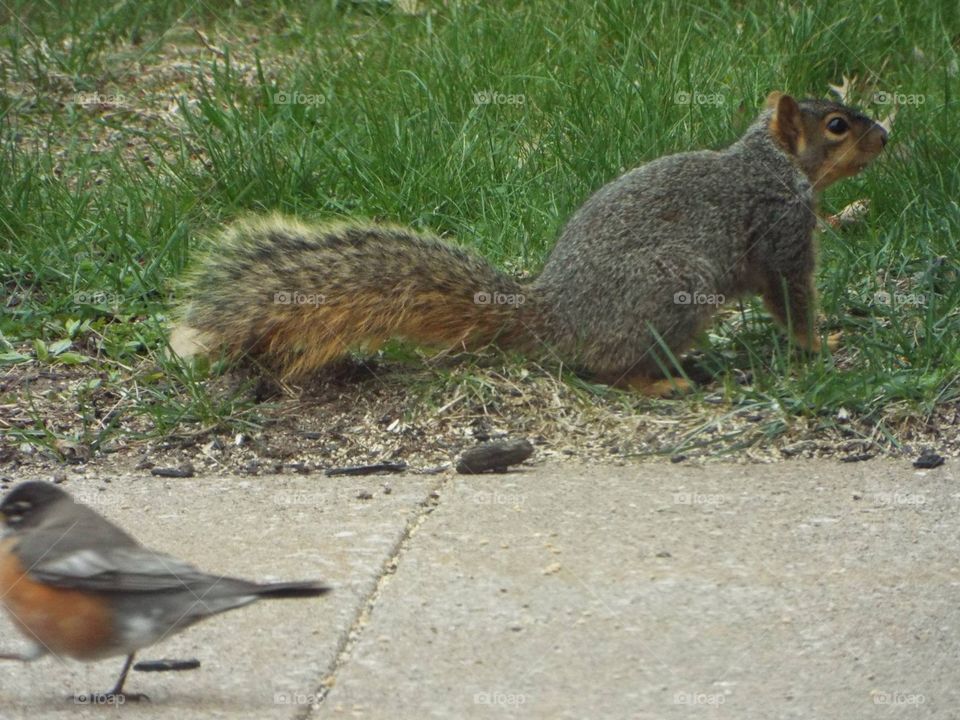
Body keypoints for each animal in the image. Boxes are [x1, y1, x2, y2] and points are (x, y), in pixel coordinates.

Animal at [171, 91, 887, 396]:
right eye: (837, 125)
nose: (885, 136)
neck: (773, 162)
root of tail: (551, 319)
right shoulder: (780, 230)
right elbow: (790, 296)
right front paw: (820, 345)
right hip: (673, 286)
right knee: (605, 369)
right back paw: (662, 383)